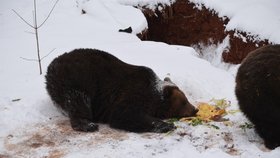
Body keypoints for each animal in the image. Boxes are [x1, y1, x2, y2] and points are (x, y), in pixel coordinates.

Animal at [44, 48, 197, 133]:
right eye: (184, 102)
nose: (195, 109)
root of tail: (51, 66)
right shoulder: (132, 94)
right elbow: (124, 114)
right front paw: (167, 125)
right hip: (78, 80)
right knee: (79, 100)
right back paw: (88, 124)